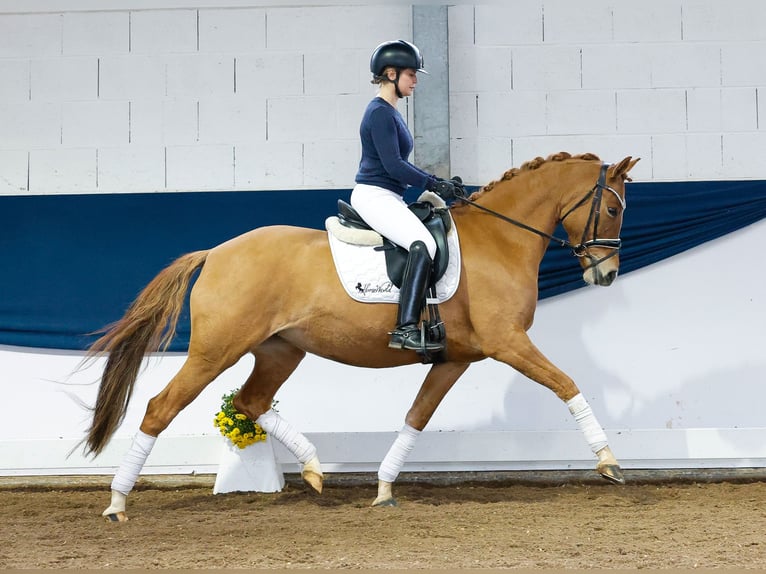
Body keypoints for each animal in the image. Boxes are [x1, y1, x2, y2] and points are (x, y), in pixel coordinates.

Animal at [84, 152, 640, 520]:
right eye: (614, 209)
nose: (607, 274)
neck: (500, 239)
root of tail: (216, 252)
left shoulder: (456, 358)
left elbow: (417, 417)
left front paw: (384, 487)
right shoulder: (508, 343)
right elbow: (566, 384)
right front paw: (609, 463)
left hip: (281, 350)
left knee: (249, 401)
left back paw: (313, 469)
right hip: (215, 350)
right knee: (161, 408)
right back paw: (117, 503)